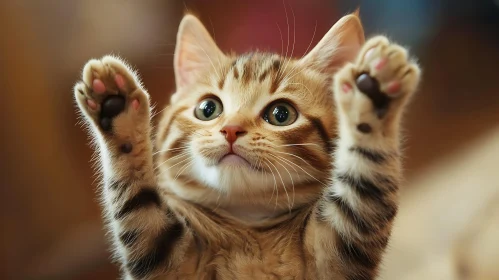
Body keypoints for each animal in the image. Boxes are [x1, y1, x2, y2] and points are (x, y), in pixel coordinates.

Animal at [74, 11, 422, 280]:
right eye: (208, 109)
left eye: (281, 114)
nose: (231, 129)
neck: (249, 225)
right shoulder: (164, 258)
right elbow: (138, 209)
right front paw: (116, 111)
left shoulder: (339, 247)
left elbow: (364, 185)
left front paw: (374, 94)